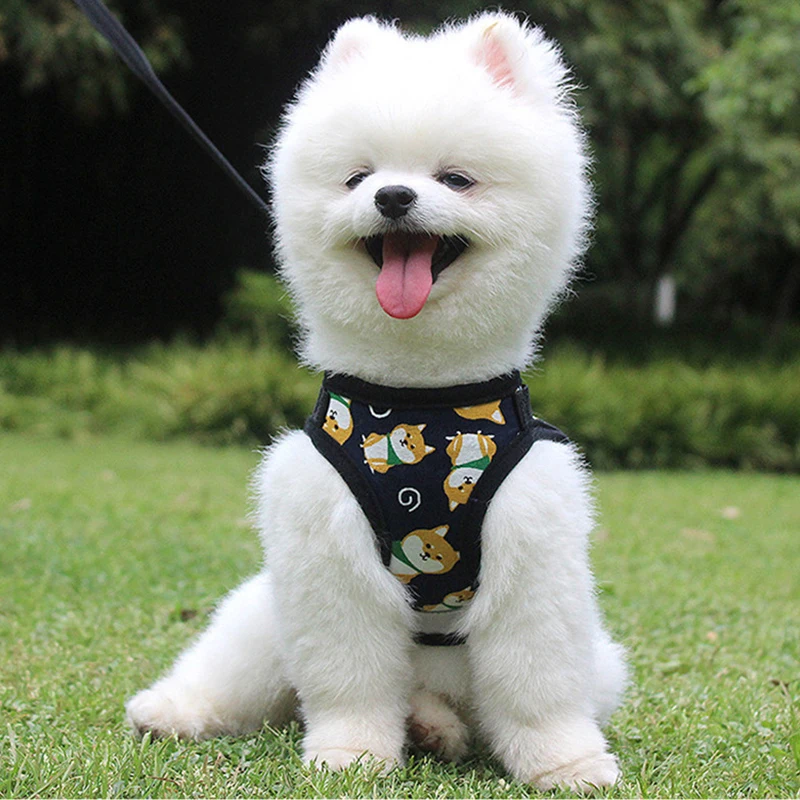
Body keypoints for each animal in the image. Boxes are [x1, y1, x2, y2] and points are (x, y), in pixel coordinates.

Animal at [126, 13, 627, 790]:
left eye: (456, 178)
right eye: (358, 177)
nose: (392, 196)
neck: (419, 396)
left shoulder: (534, 550)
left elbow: (537, 681)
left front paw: (566, 763)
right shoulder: (326, 550)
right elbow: (350, 675)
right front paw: (353, 754)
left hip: (590, 663)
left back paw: (432, 726)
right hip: (263, 614)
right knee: (236, 673)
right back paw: (176, 710)